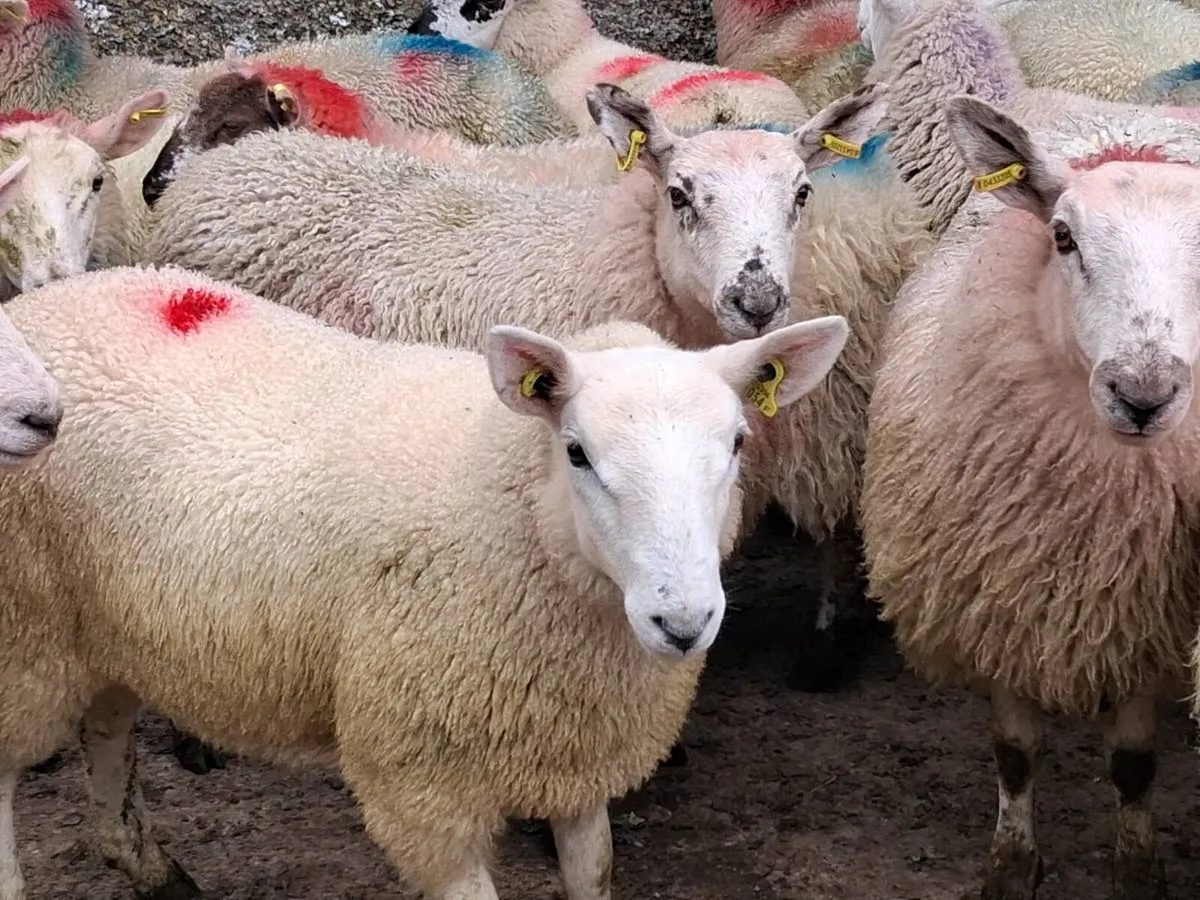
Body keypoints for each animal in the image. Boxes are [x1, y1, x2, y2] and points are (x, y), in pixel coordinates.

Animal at [0, 262, 850, 900]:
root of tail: (51, 297)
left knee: (108, 732)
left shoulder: (575, 756)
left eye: (737, 443)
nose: (683, 621)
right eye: (577, 452)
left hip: (103, 626)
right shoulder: (421, 784)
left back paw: (148, 865)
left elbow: (597, 873)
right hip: (24, 631)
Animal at [861, 93, 1200, 900]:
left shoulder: (1147, 623)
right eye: (1063, 236)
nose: (1144, 395)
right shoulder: (1000, 604)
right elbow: (1014, 752)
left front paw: (1137, 868)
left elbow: (1133, 765)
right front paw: (1013, 865)